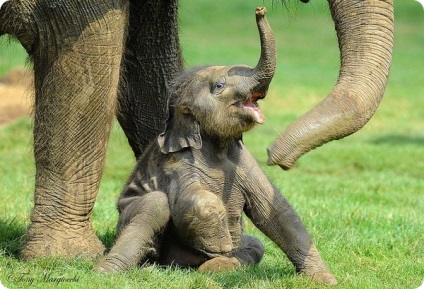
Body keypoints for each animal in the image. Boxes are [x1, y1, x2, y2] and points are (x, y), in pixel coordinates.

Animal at [94, 7, 336, 284]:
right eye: (219, 86)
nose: (260, 10)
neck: (217, 146)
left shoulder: (245, 161)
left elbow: (277, 212)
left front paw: (325, 279)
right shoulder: (178, 163)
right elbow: (191, 199)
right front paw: (221, 244)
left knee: (257, 244)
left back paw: (218, 265)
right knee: (154, 204)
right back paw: (105, 272)